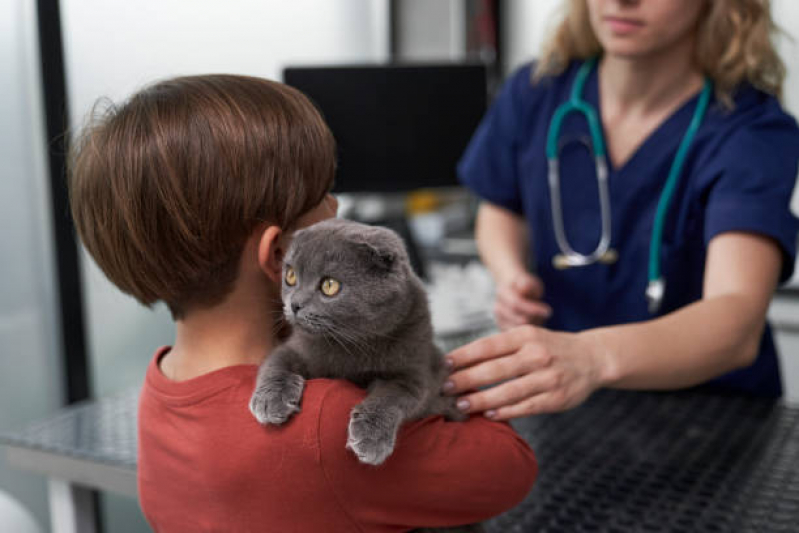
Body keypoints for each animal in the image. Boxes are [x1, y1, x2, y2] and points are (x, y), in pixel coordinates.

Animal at [250, 217, 484, 532]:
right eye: (290, 276)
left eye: (330, 285)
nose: (294, 304)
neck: (350, 348)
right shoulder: (297, 348)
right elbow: (276, 363)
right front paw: (270, 402)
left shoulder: (415, 373)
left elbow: (390, 397)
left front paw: (369, 438)